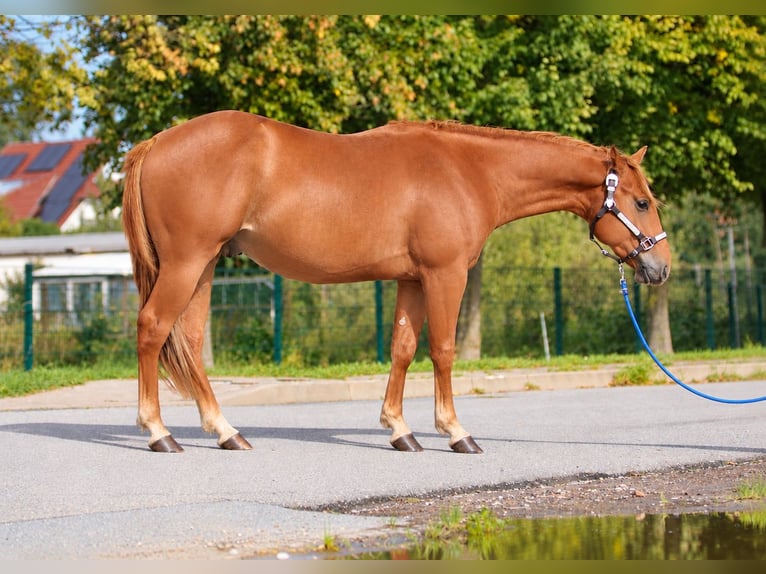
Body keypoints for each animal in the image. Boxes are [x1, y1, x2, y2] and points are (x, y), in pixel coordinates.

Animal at [121, 110, 670, 454]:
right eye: (643, 201)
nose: (661, 267)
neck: (468, 170)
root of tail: (156, 142)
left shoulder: (411, 279)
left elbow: (403, 349)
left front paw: (400, 430)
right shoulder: (445, 275)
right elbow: (443, 350)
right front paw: (455, 432)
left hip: (204, 266)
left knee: (189, 341)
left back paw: (225, 431)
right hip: (187, 262)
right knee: (152, 328)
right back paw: (158, 433)